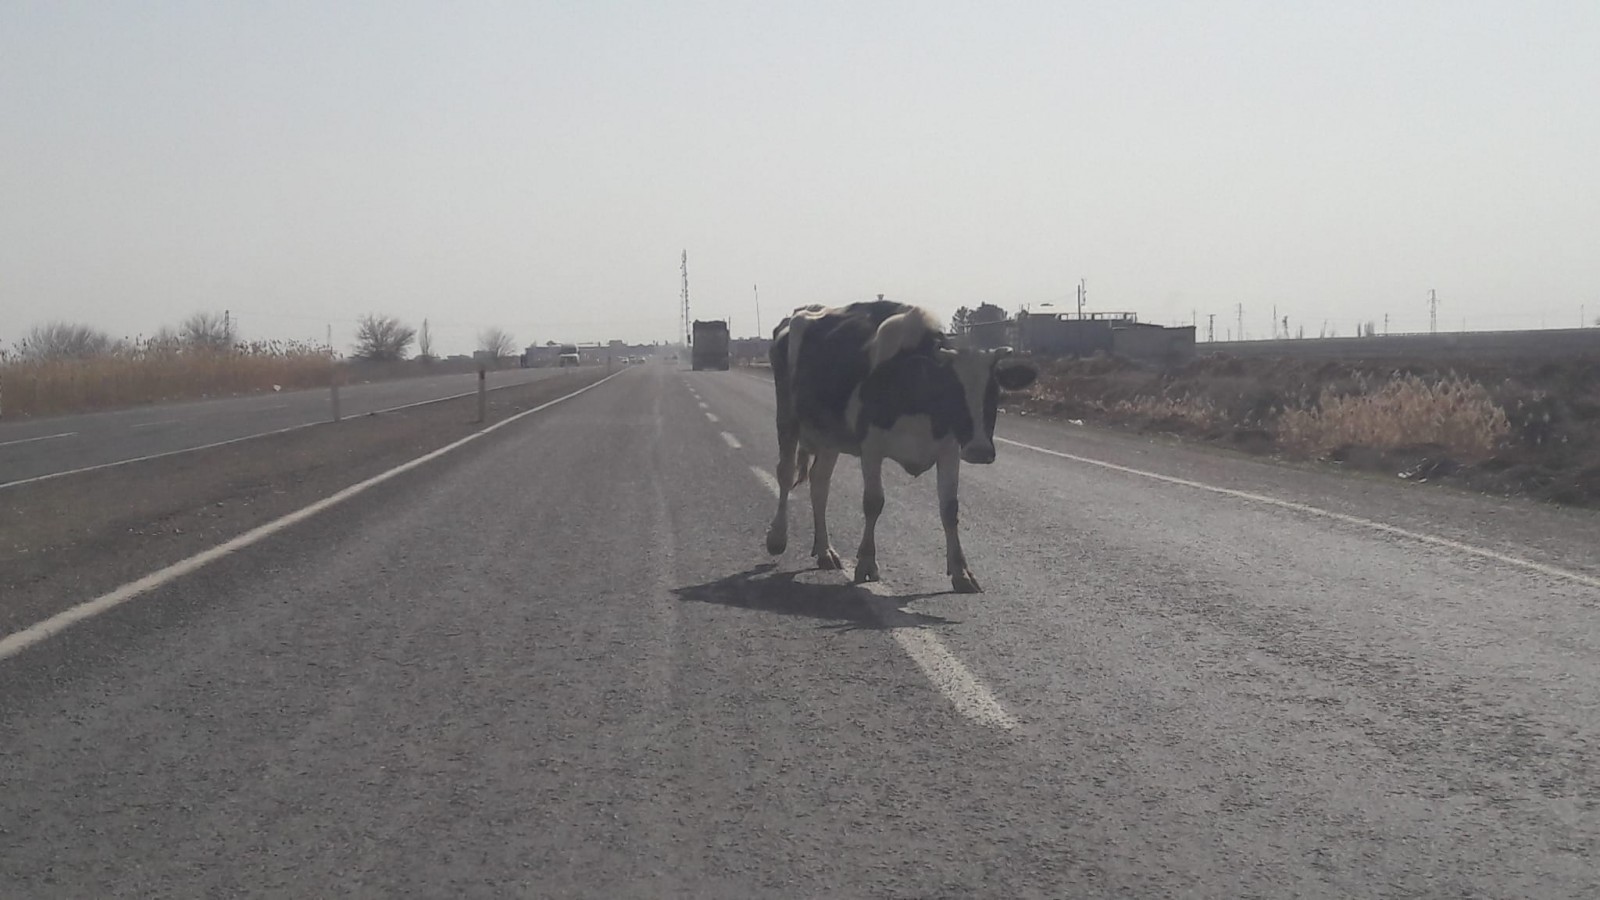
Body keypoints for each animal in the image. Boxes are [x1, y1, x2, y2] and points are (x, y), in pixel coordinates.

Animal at [761, 297, 1036, 592]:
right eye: (951, 390)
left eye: (994, 393)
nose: (980, 450)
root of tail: (801, 312)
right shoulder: (871, 446)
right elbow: (873, 502)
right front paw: (866, 563)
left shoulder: (949, 450)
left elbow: (950, 508)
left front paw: (961, 572)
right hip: (788, 417)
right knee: (786, 473)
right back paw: (777, 538)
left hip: (829, 435)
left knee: (819, 484)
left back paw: (824, 550)